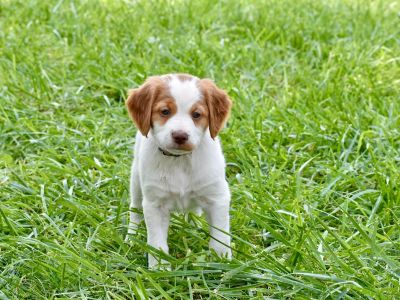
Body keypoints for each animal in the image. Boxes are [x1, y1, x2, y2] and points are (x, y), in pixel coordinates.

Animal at [124, 73, 231, 268]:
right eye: (165, 111)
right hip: (136, 181)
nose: (180, 135)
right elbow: (157, 243)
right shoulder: (155, 204)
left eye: (197, 114)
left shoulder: (217, 197)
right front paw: (159, 268)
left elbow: (220, 237)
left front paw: (222, 262)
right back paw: (131, 239)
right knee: (135, 210)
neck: (179, 160)